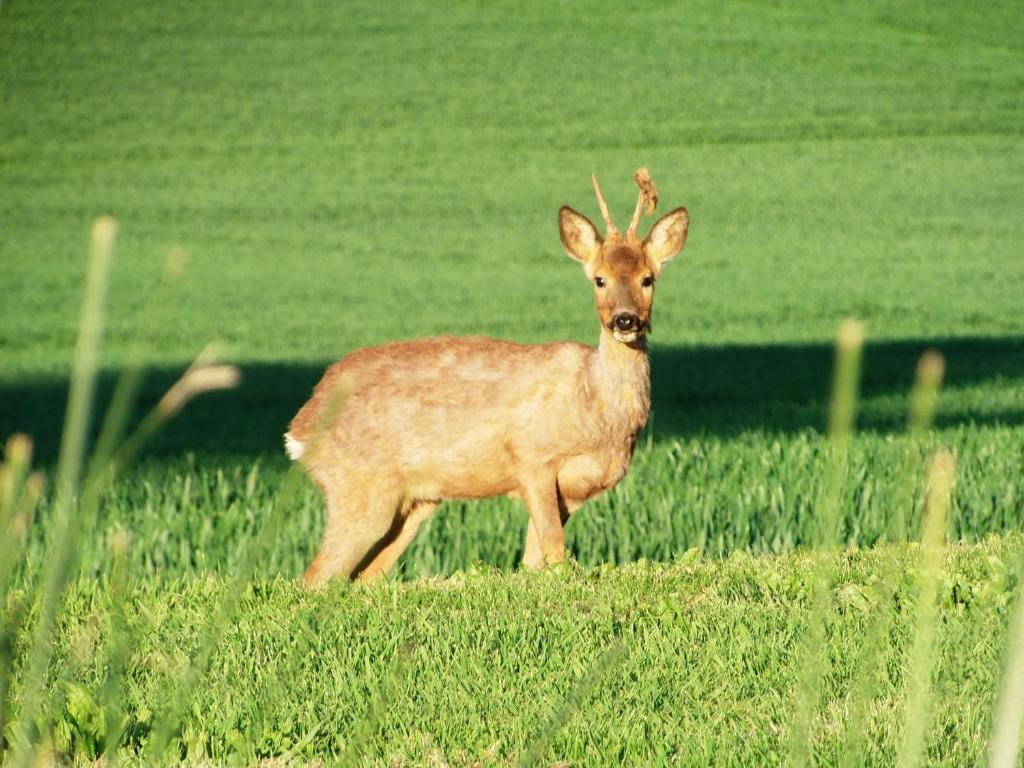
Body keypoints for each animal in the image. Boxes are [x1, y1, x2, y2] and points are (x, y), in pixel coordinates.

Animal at [284, 169, 692, 589]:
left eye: (648, 279)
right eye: (599, 279)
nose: (625, 320)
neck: (594, 406)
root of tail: (301, 425)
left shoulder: (568, 493)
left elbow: (534, 562)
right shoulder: (532, 458)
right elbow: (555, 554)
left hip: (414, 503)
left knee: (364, 577)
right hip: (359, 489)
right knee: (316, 577)